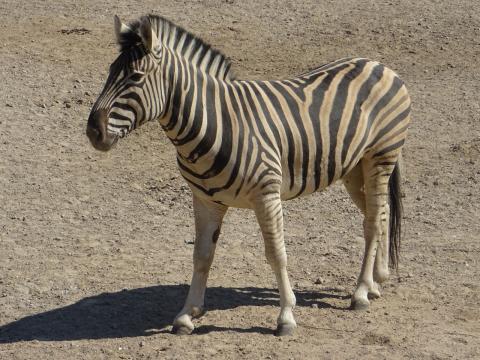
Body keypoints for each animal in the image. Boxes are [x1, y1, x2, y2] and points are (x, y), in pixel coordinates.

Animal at [86, 13, 412, 334]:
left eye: (135, 77)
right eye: (110, 71)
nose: (93, 131)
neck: (214, 122)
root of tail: (377, 64)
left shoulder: (266, 195)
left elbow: (276, 253)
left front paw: (286, 316)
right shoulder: (205, 200)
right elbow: (201, 255)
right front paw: (187, 314)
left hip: (380, 157)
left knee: (372, 221)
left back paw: (361, 292)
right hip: (353, 168)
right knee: (380, 212)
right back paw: (377, 281)